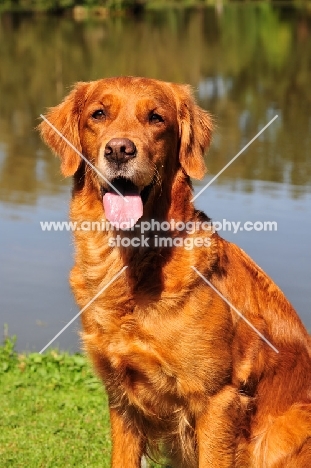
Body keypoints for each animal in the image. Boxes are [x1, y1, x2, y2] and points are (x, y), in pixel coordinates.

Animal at [40, 77, 311, 468]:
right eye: (98, 114)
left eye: (156, 118)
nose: (119, 150)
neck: (132, 266)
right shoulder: (121, 397)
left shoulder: (217, 400)